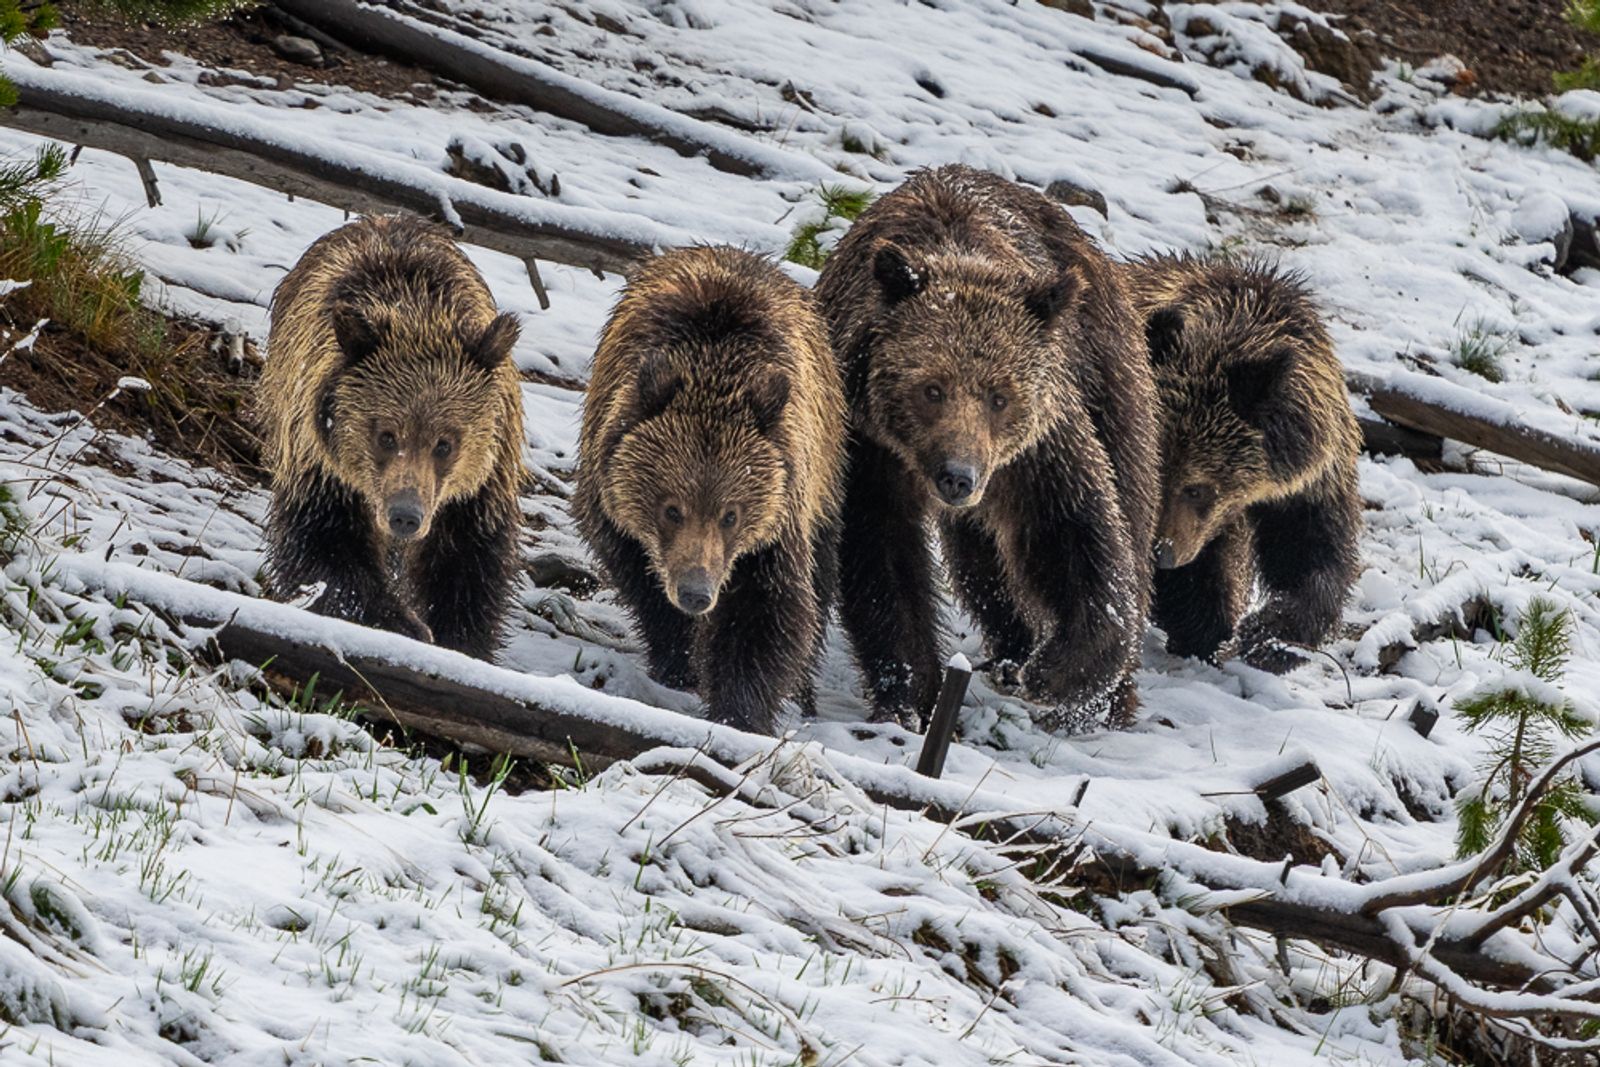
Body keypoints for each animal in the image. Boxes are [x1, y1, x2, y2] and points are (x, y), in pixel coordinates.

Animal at [258, 214, 526, 660]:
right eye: (385, 435)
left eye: (444, 443)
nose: (405, 514)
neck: (416, 313)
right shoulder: (321, 466)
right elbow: (327, 550)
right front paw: (405, 624)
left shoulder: (478, 487)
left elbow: (466, 567)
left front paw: (460, 639)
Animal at [572, 245, 847, 735]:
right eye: (671, 508)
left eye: (730, 514)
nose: (696, 592)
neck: (714, 365)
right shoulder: (613, 503)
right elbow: (644, 584)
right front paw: (679, 663)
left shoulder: (777, 520)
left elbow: (764, 612)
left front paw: (740, 710)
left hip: (828, 468)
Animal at [814, 165, 1160, 732]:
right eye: (931, 389)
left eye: (1001, 396)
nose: (958, 476)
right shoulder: (870, 449)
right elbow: (884, 556)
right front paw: (912, 694)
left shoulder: (1038, 447)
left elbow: (1069, 535)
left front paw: (1059, 675)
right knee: (981, 560)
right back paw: (1011, 648)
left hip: (1110, 377)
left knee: (1128, 508)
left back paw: (1104, 692)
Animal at [1123, 253, 1362, 673]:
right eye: (1154, 471)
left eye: (1197, 488)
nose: (1161, 552)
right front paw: (1208, 633)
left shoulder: (1310, 483)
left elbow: (1314, 558)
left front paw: (1270, 637)